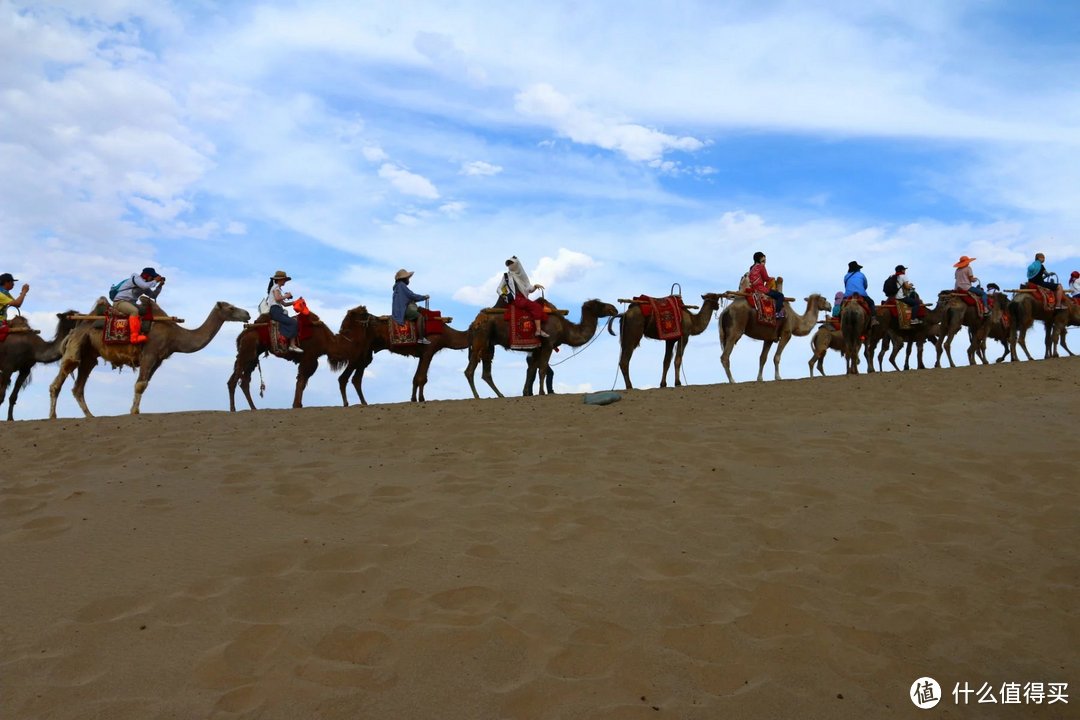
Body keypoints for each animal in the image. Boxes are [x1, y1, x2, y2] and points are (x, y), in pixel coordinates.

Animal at [50, 295, 248, 416]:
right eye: (231, 308)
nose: (246, 313)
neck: (175, 334)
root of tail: (76, 328)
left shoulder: (158, 360)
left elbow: (144, 384)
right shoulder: (150, 353)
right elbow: (140, 385)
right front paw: (134, 413)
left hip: (89, 355)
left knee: (78, 387)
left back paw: (91, 416)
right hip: (77, 345)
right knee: (62, 377)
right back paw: (53, 416)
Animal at [225, 306, 369, 410]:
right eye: (363, 313)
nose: (370, 316)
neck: (329, 342)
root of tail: (243, 334)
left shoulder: (311, 360)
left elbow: (302, 382)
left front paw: (299, 404)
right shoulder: (309, 357)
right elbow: (301, 381)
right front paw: (296, 405)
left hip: (253, 355)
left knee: (244, 380)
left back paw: (253, 408)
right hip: (247, 351)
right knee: (234, 380)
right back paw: (233, 409)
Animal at [336, 313, 473, 405]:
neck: (446, 334)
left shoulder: (422, 354)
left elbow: (416, 378)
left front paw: (413, 399)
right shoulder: (429, 350)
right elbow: (422, 378)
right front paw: (422, 399)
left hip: (367, 351)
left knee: (355, 377)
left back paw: (363, 402)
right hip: (361, 350)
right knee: (347, 376)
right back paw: (348, 403)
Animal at [462, 297, 617, 399]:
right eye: (599, 304)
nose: (613, 309)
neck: (564, 328)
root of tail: (474, 322)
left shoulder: (537, 348)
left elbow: (531, 371)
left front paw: (526, 393)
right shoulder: (548, 344)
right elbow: (541, 369)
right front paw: (542, 393)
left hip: (489, 344)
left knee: (486, 373)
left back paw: (500, 395)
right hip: (481, 337)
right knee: (469, 370)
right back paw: (477, 396)